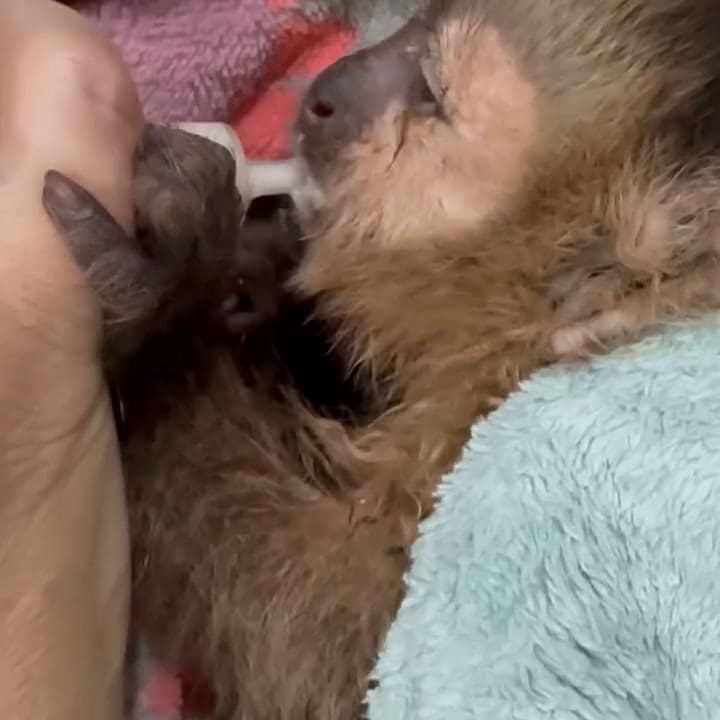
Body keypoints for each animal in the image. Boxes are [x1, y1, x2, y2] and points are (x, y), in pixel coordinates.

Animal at [41, 0, 720, 717]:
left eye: (430, 92)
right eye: (416, 26)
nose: (324, 92)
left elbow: (327, 658)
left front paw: (170, 308)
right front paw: (258, 274)